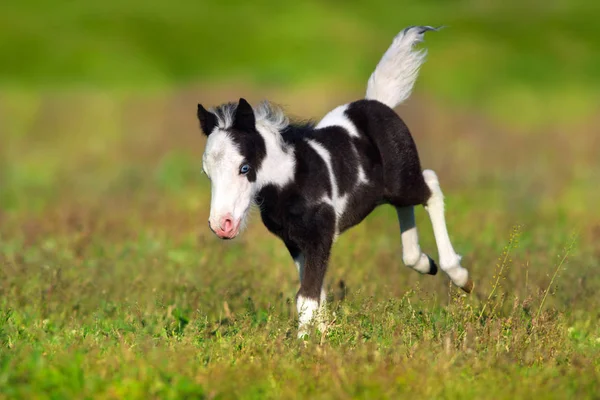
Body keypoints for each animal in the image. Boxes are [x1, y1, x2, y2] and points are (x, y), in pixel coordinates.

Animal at [197, 25, 474, 338]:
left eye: (244, 167)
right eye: (206, 173)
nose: (222, 225)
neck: (291, 180)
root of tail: (378, 102)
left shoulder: (320, 235)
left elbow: (306, 298)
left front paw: (305, 344)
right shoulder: (295, 242)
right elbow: (315, 294)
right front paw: (323, 335)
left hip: (402, 179)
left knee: (430, 185)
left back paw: (459, 275)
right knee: (407, 206)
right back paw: (423, 262)